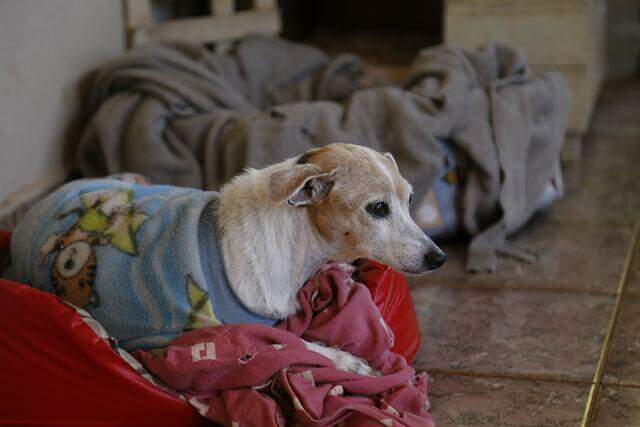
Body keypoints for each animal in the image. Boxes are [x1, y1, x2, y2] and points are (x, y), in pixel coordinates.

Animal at [5, 145, 444, 378]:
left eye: (409, 200)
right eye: (378, 208)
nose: (438, 258)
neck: (298, 246)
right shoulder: (236, 335)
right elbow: (300, 345)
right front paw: (351, 363)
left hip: (131, 178)